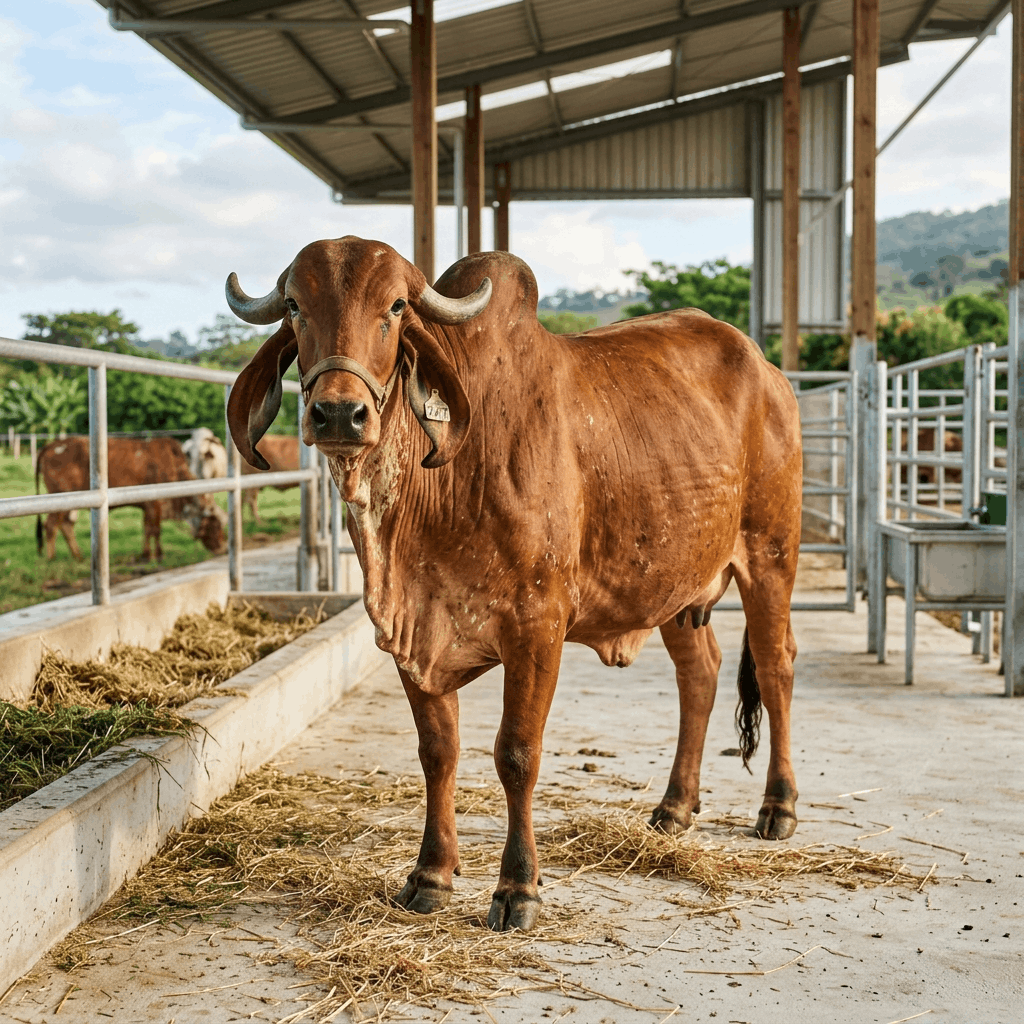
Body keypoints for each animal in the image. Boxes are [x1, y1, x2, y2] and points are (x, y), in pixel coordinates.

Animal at [36, 436, 228, 562]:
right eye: (216, 525)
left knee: (66, 525)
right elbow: (155, 530)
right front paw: (158, 555)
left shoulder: (148, 507)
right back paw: (51, 559)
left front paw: (145, 554)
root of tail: (52, 444)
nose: (224, 548)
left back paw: (78, 556)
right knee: (51, 525)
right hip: (60, 498)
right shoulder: (156, 503)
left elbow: (147, 529)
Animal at [225, 238, 803, 933]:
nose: (339, 412)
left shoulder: (537, 627)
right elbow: (438, 752)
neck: (439, 491)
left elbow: (516, 753)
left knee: (774, 665)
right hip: (674, 587)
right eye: (294, 305)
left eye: (395, 306)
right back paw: (674, 807)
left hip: (770, 554)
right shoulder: (411, 636)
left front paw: (518, 887)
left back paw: (778, 806)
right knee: (701, 673)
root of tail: (766, 369)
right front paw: (430, 874)